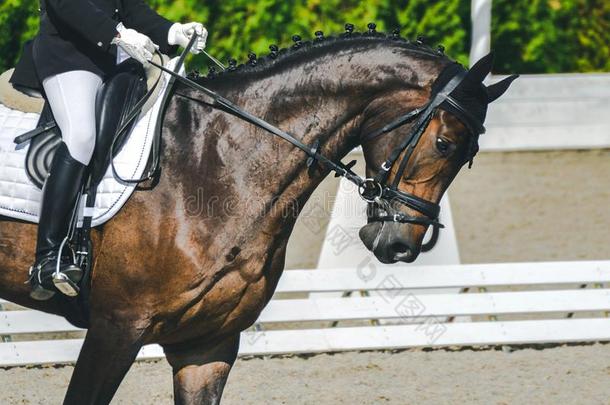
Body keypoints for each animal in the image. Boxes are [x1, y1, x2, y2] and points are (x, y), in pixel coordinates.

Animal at [0, 27, 512, 400]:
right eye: (443, 143)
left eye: (470, 155)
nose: (400, 245)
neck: (214, 164)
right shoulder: (116, 329)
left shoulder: (206, 345)